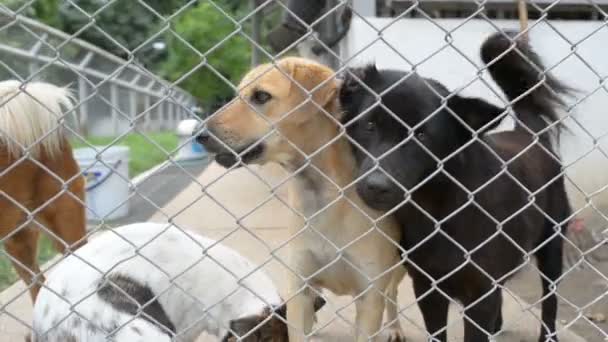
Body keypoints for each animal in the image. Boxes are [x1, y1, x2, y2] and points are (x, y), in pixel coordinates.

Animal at [200, 57, 406, 340]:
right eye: (236, 95)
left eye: (261, 96)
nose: (199, 135)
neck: (321, 196)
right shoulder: (299, 289)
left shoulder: (369, 297)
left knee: (392, 294)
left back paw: (395, 327)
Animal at [340, 30, 572, 340]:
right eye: (369, 125)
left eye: (422, 135)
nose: (377, 186)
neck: (438, 206)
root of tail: (530, 134)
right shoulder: (428, 288)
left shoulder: (480, 294)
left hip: (552, 247)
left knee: (550, 299)